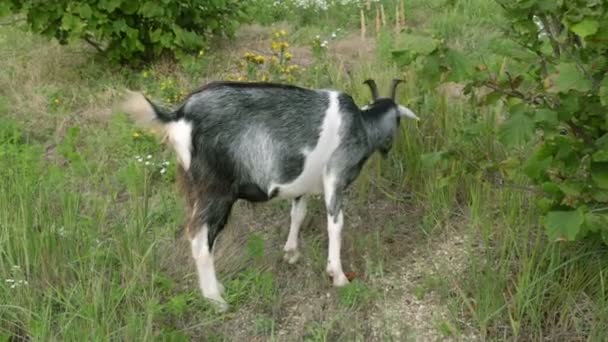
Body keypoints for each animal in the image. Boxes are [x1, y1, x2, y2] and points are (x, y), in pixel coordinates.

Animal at [121, 79, 420, 312]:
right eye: (398, 121)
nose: (388, 149)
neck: (361, 123)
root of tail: (179, 116)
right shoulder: (336, 174)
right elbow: (335, 224)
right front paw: (338, 276)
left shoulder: (302, 186)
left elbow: (298, 214)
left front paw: (291, 252)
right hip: (215, 191)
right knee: (198, 239)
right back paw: (216, 300)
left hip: (193, 189)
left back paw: (218, 288)